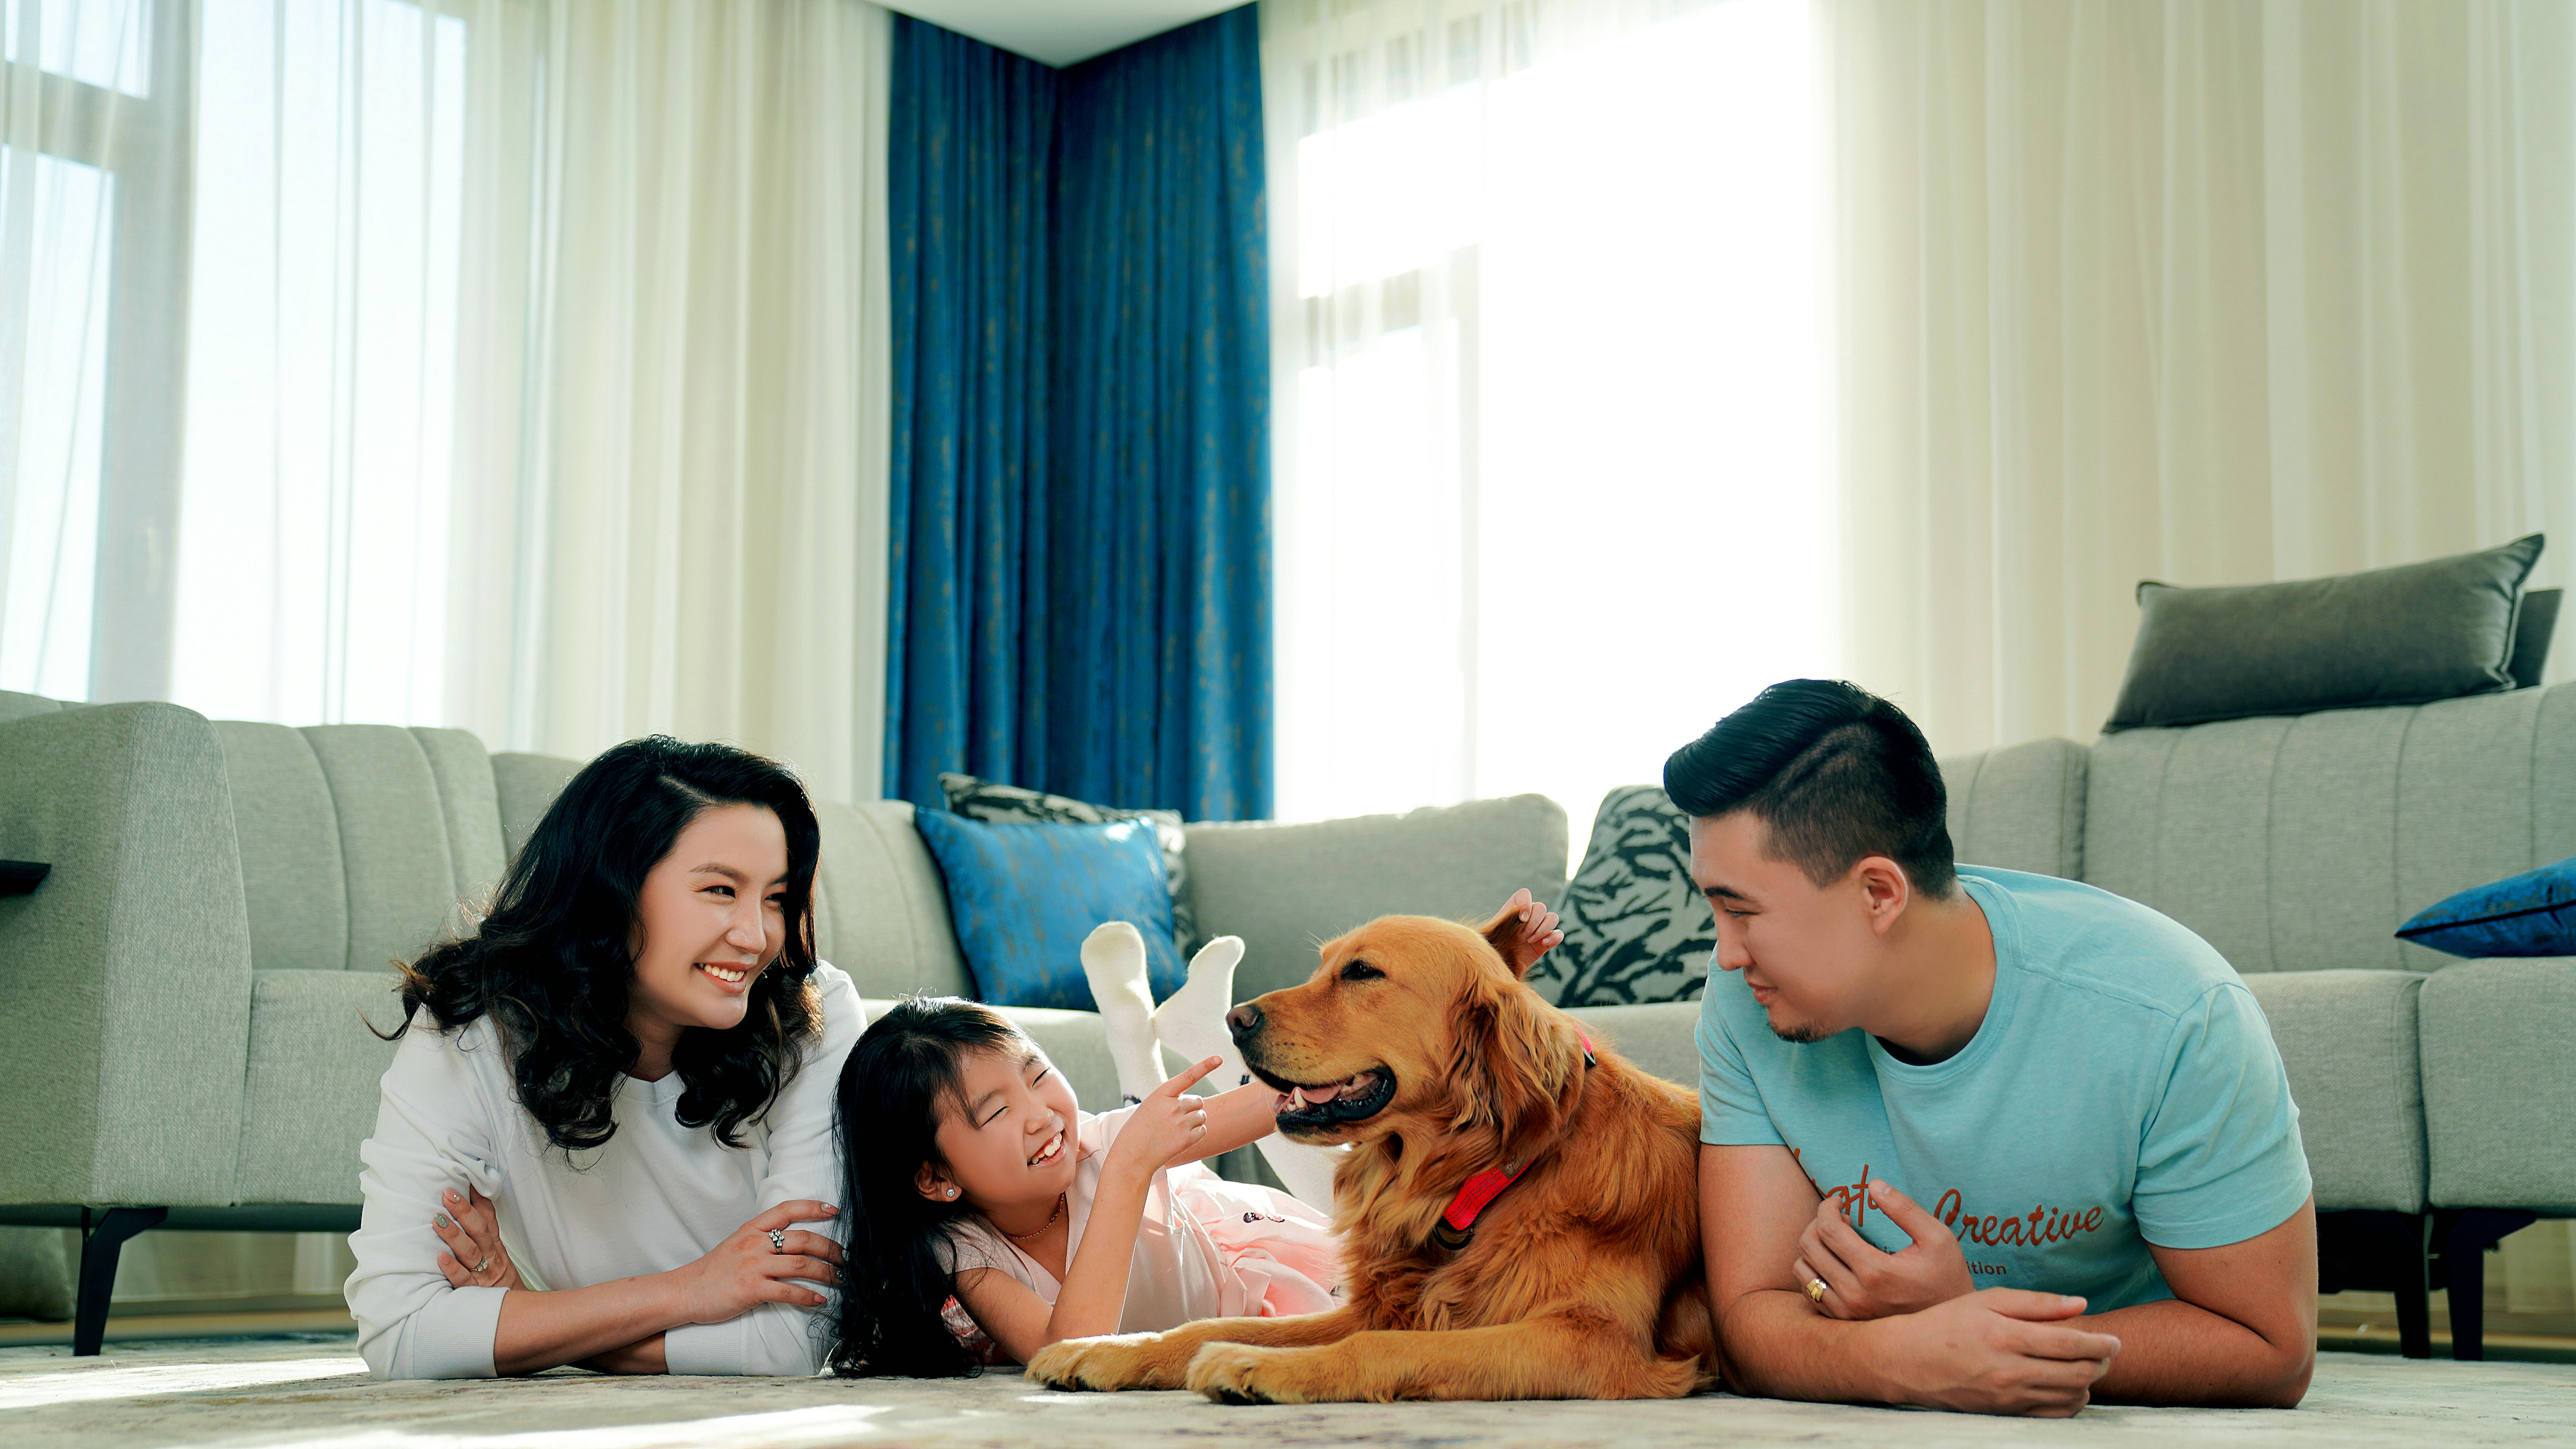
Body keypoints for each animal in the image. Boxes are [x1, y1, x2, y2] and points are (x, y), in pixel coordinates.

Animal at [1020, 907, 1710, 1392]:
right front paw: (1105, 1349)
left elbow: (1382, 1348)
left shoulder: (1592, 1342)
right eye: (1326, 964)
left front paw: (1257, 1366)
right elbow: (1212, 1325)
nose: (1237, 1021)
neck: (1481, 1180)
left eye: (1362, 972)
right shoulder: (1376, 1305)